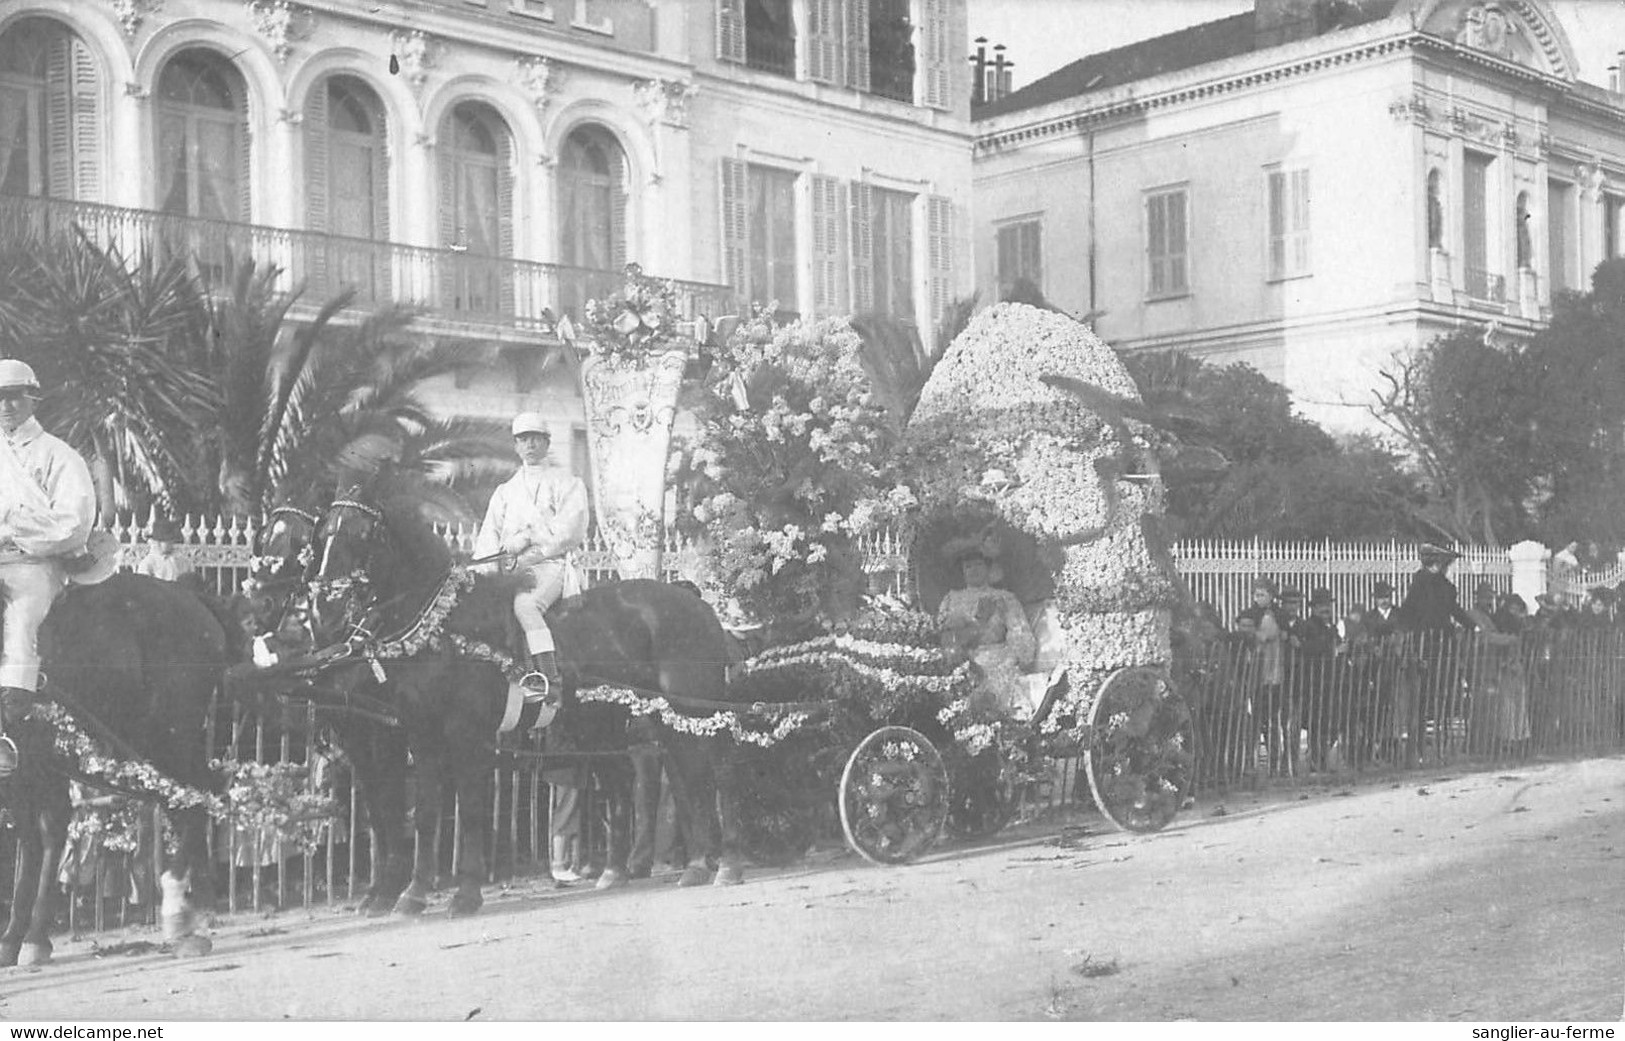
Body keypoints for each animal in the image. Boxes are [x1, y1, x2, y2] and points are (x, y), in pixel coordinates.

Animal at [0, 571, 232, 961]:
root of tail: (191, 598)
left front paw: (30, 938)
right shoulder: (22, 768)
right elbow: (32, 839)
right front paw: (14, 938)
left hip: (168, 733)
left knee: (197, 793)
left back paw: (178, 905)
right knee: (184, 799)